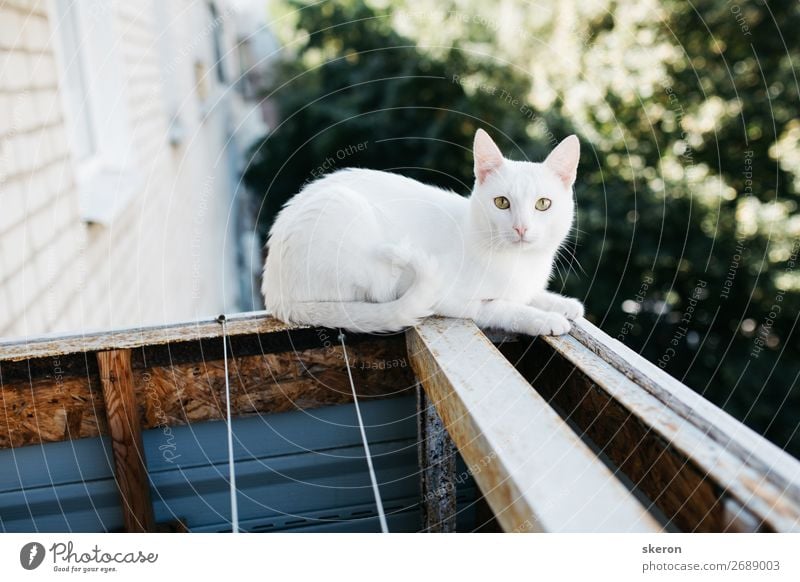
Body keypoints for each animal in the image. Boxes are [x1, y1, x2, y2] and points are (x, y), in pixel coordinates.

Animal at [262, 129, 580, 336]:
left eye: (543, 204)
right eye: (502, 202)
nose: (521, 227)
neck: (519, 263)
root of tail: (275, 293)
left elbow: (530, 295)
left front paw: (562, 304)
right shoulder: (453, 300)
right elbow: (501, 307)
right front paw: (543, 319)